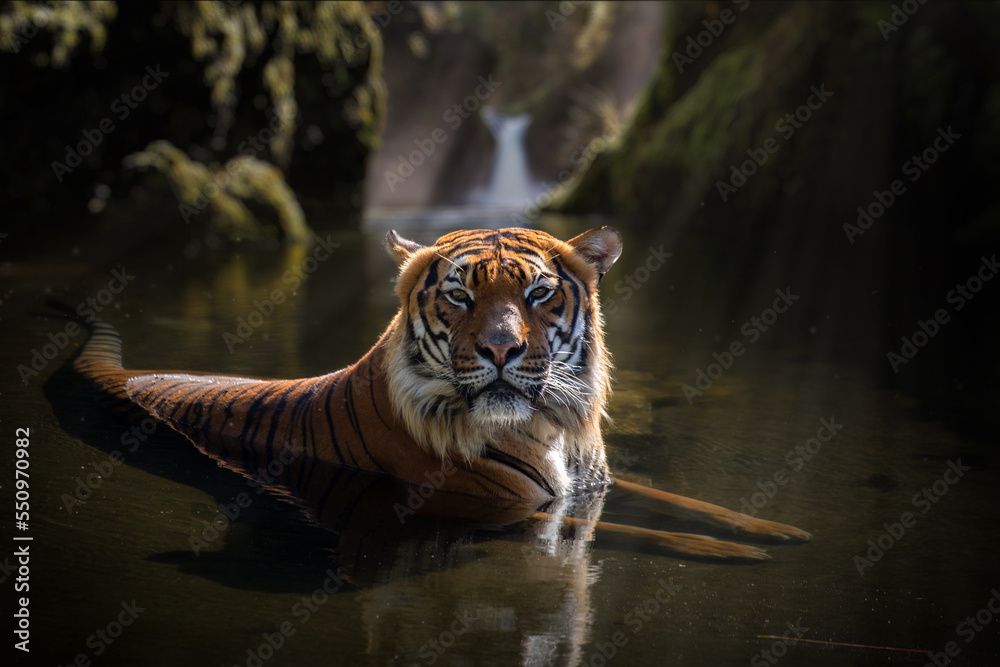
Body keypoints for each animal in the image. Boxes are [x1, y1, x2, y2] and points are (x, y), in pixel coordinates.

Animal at [70, 226, 811, 560]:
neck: (554, 423)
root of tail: (130, 373)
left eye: (538, 295)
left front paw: (782, 529)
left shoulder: (593, 482)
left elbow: (682, 502)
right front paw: (738, 553)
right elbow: (625, 528)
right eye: (460, 296)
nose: (501, 349)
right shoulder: (502, 507)